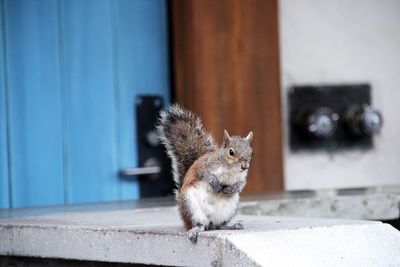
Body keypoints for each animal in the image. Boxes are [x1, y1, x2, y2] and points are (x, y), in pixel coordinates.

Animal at [157, 104, 253, 245]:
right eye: (231, 152)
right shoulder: (204, 166)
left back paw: (232, 225)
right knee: (200, 224)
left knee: (220, 225)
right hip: (191, 205)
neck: (231, 170)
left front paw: (231, 189)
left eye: (251, 152)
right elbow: (205, 175)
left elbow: (241, 184)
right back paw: (196, 229)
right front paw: (215, 184)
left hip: (230, 208)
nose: (245, 166)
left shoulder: (242, 177)